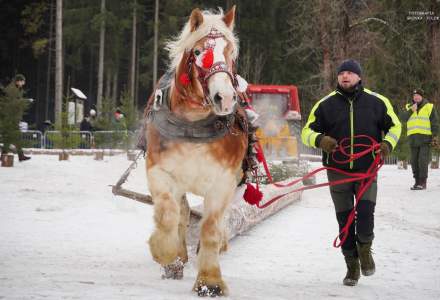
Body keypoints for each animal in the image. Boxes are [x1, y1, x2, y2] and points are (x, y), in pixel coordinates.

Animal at [144, 5, 248, 296]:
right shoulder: (159, 171)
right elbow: (168, 216)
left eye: (231, 52)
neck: (193, 125)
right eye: (199, 52)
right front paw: (166, 254)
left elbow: (211, 228)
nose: (225, 98)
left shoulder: (223, 181)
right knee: (181, 213)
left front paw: (210, 281)